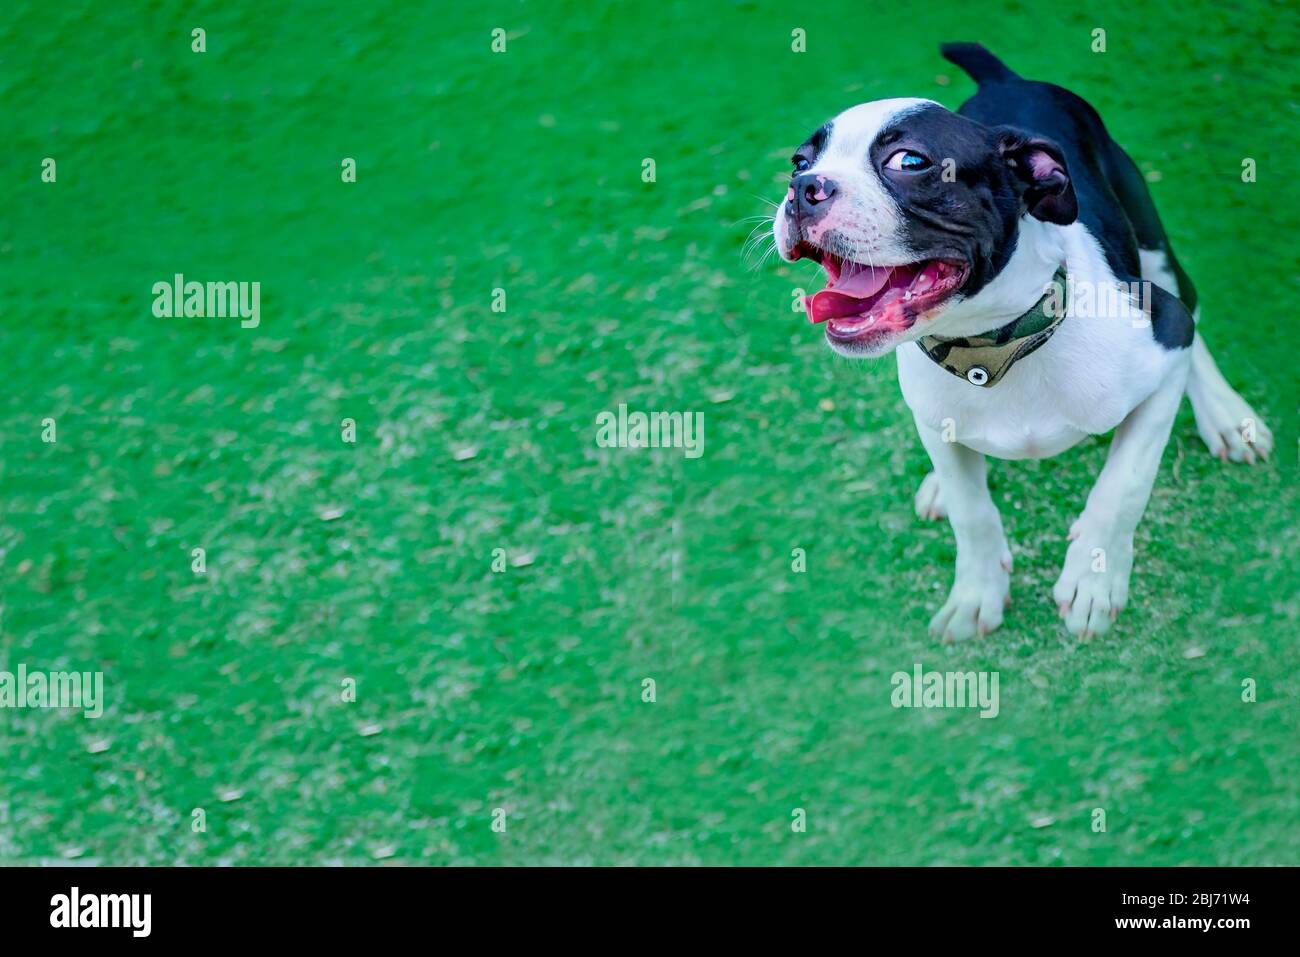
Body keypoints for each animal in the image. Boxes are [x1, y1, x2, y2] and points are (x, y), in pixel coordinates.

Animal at [769, 46, 1268, 642]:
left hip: (1153, 251)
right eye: (799, 161)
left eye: (909, 162)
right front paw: (974, 595)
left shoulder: (1163, 343)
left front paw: (1093, 581)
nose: (804, 187)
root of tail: (1008, 81)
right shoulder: (935, 413)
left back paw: (1228, 417)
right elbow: (972, 512)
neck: (993, 344)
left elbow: (1123, 487)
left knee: (1191, 312)